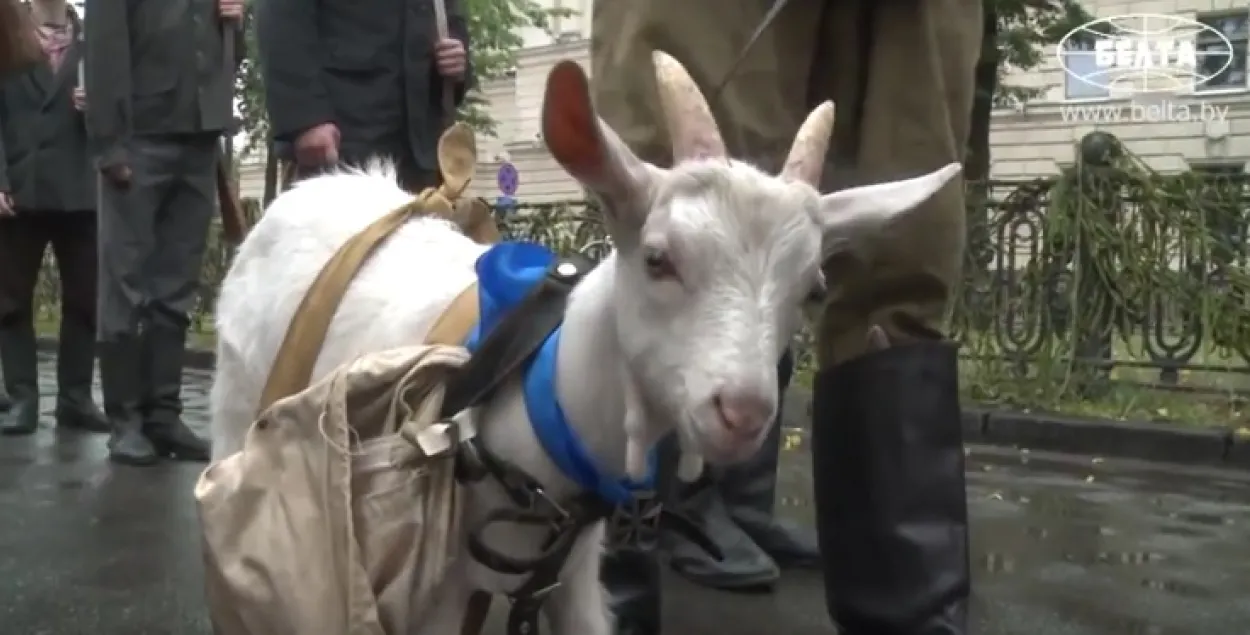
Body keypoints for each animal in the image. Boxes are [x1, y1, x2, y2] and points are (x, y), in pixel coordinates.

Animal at [210, 55, 960, 635]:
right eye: (658, 259)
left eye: (812, 288)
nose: (742, 412)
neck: (545, 391)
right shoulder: (438, 588)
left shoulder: (567, 574)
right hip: (236, 404)